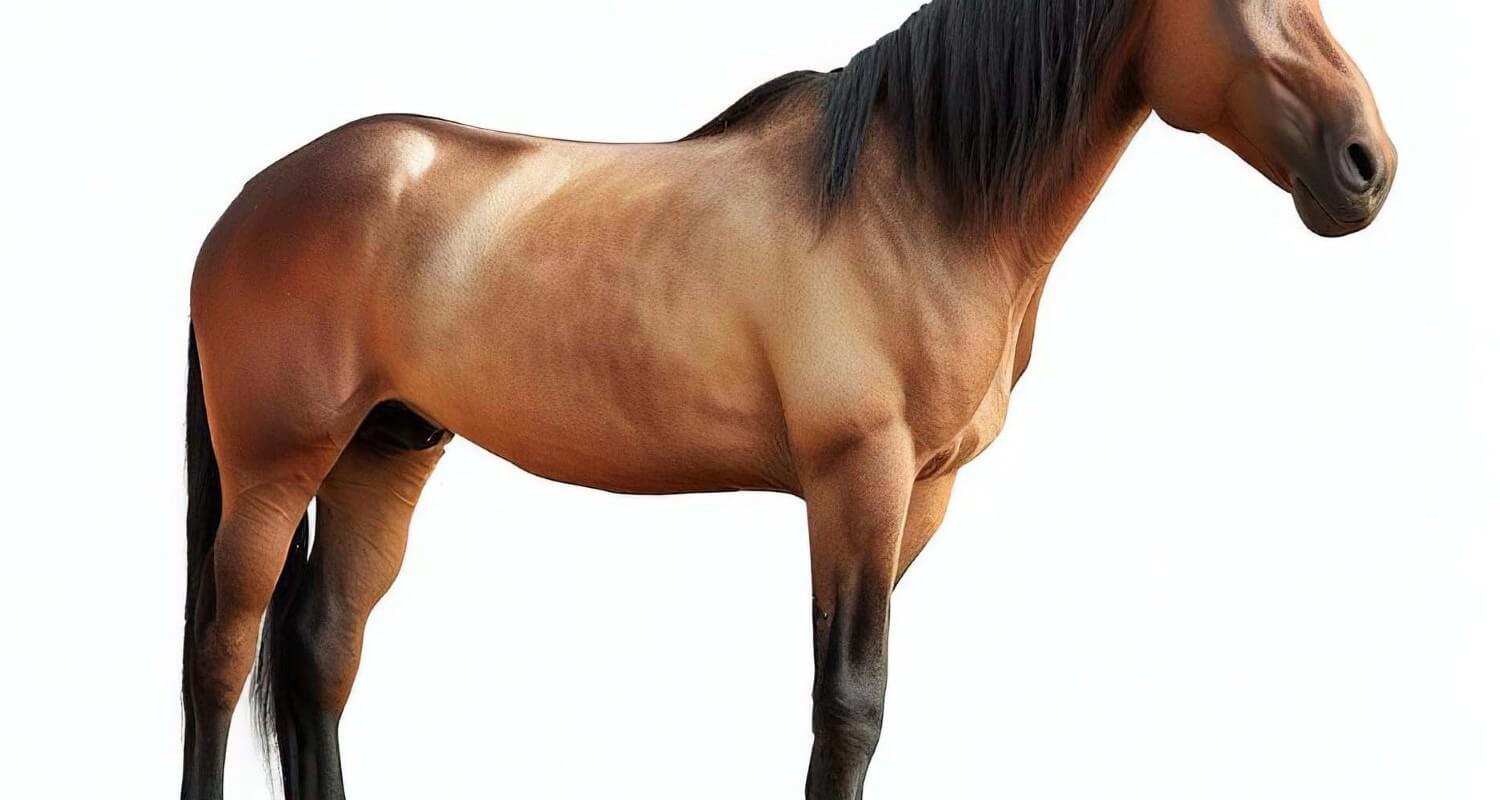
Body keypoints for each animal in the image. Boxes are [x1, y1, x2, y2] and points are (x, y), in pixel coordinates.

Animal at [180, 1, 1395, 797]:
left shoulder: (916, 499)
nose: (1366, 166)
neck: (917, 196)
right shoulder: (857, 476)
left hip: (384, 454)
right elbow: (848, 703)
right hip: (273, 470)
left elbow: (855, 699)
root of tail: (248, 199)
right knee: (222, 654)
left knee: (320, 651)